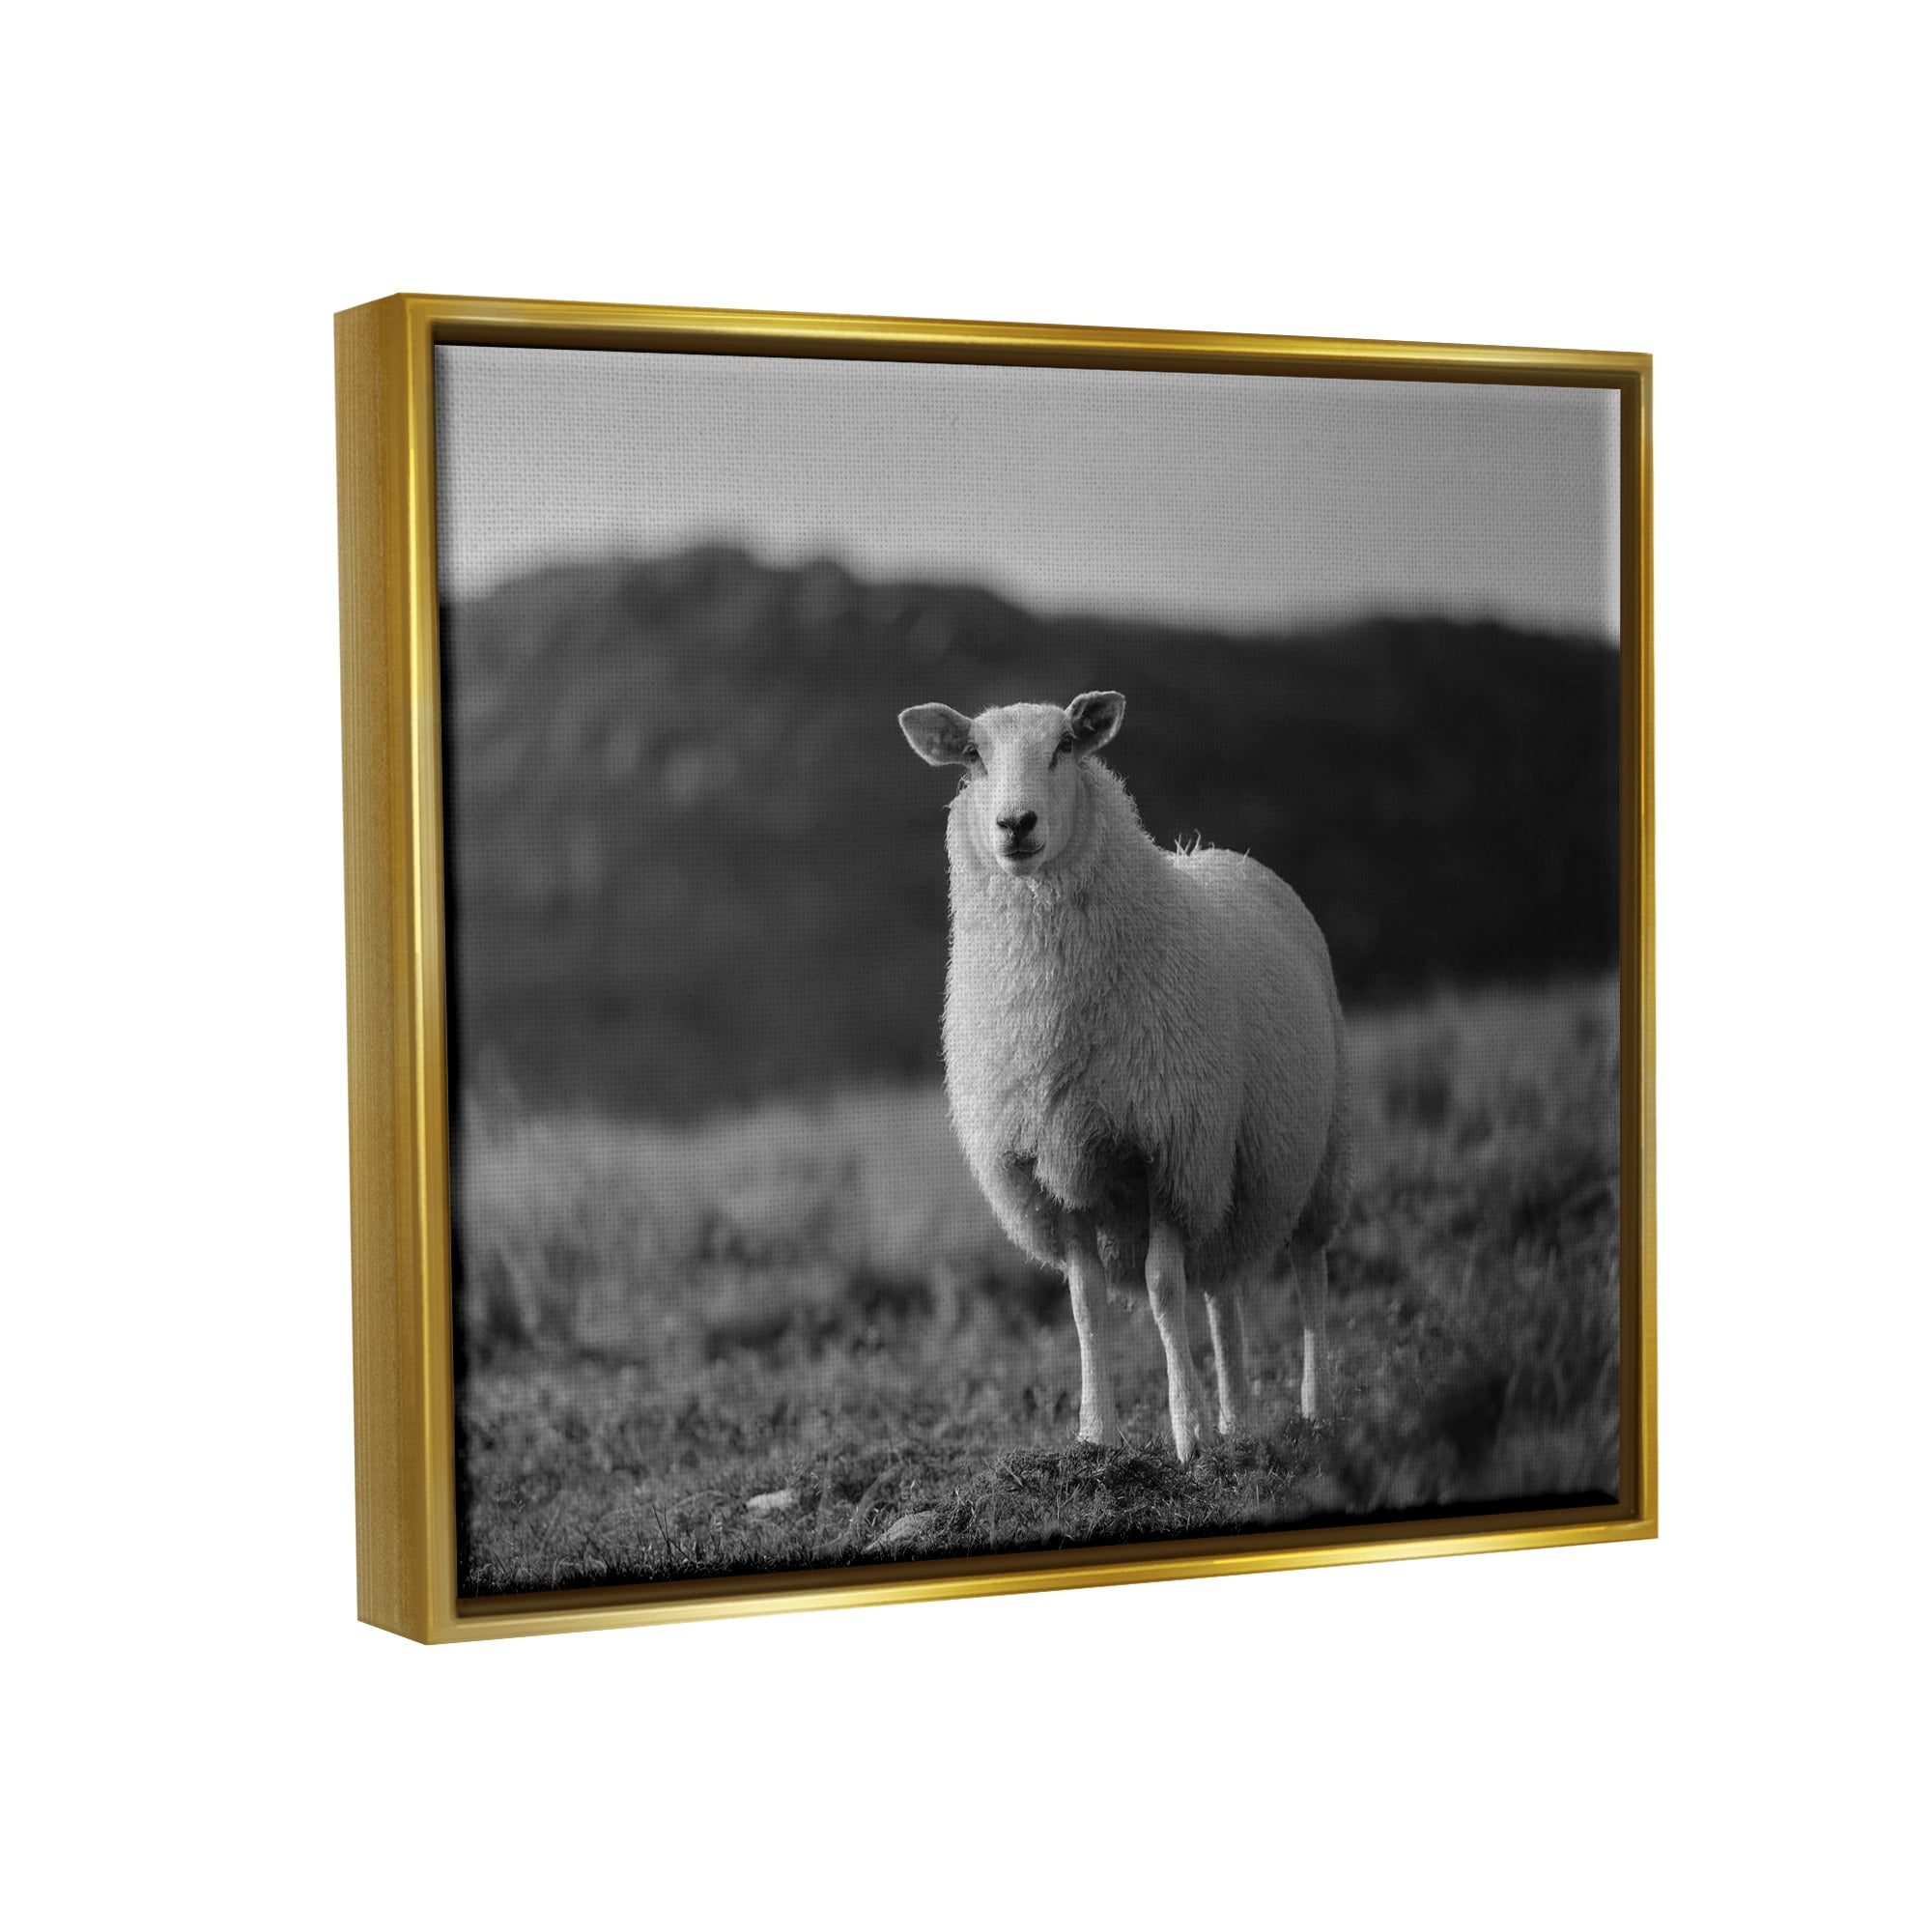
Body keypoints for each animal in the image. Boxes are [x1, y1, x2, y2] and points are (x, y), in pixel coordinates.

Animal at [898, 690, 1351, 1463]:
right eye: (973, 756)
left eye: (1063, 748)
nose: (1015, 824)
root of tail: (1224, 854)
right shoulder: (1054, 1171)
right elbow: (1085, 1307)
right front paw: (1097, 1436)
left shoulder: (1167, 1152)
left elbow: (1163, 1290)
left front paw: (1186, 1434)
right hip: (1223, 1174)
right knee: (1222, 1288)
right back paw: (1237, 1420)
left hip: (1313, 1154)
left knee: (1309, 1272)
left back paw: (1313, 1409)